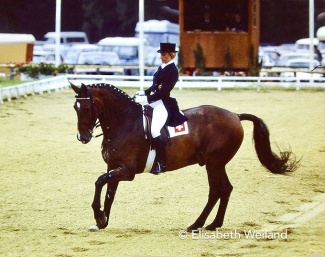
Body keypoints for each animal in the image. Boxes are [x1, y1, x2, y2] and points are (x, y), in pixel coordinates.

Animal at [71, 83, 298, 231]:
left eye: (88, 106)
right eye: (75, 107)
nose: (83, 137)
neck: (124, 122)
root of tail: (235, 115)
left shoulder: (127, 171)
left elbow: (99, 182)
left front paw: (98, 215)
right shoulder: (114, 167)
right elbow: (109, 193)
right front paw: (102, 221)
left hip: (213, 163)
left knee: (216, 190)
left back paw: (196, 225)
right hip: (217, 164)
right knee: (226, 189)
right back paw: (213, 224)